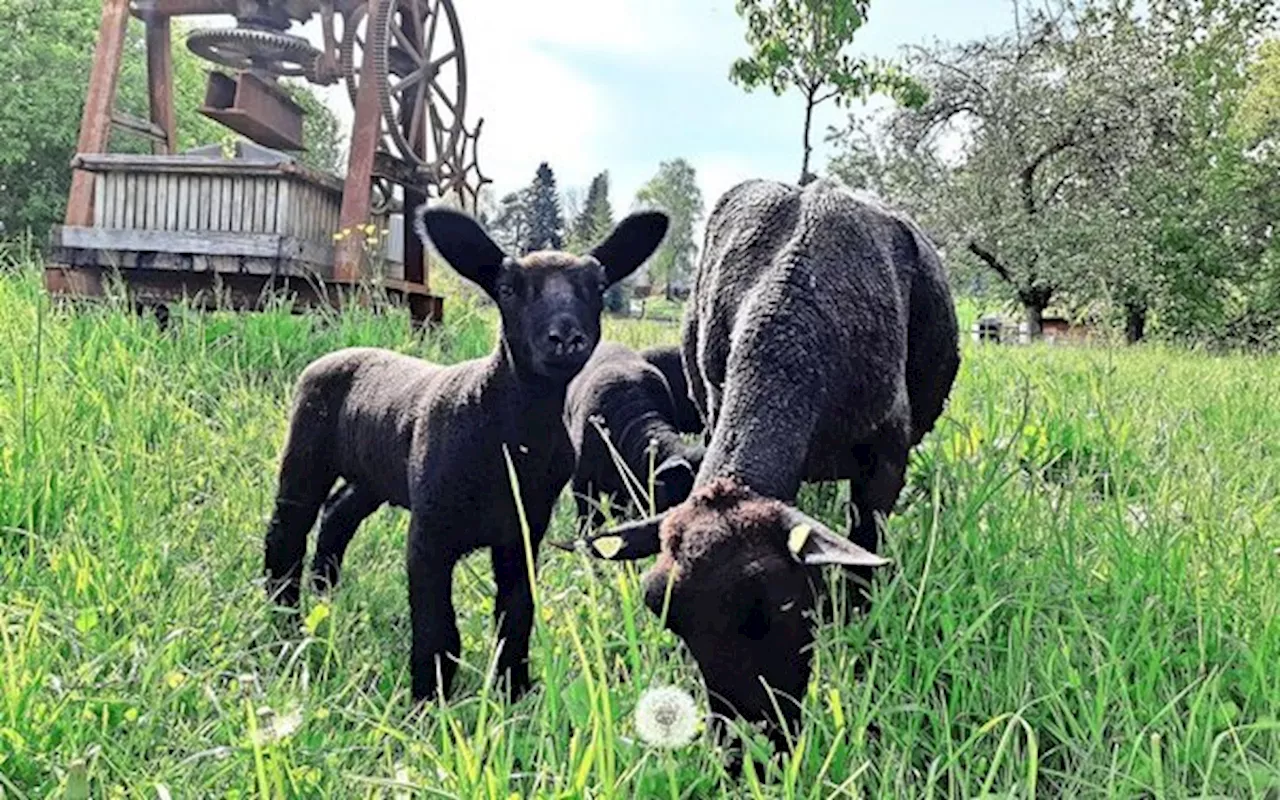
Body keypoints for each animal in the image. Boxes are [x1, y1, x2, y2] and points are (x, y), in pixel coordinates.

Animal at [261, 207, 670, 706]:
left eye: (597, 286)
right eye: (508, 288)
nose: (566, 339)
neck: (508, 434)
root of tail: (336, 353)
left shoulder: (523, 532)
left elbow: (516, 616)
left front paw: (514, 690)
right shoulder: (429, 534)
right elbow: (438, 630)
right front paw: (428, 702)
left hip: (376, 474)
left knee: (339, 514)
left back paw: (325, 594)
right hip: (306, 451)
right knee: (287, 531)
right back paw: (282, 620)